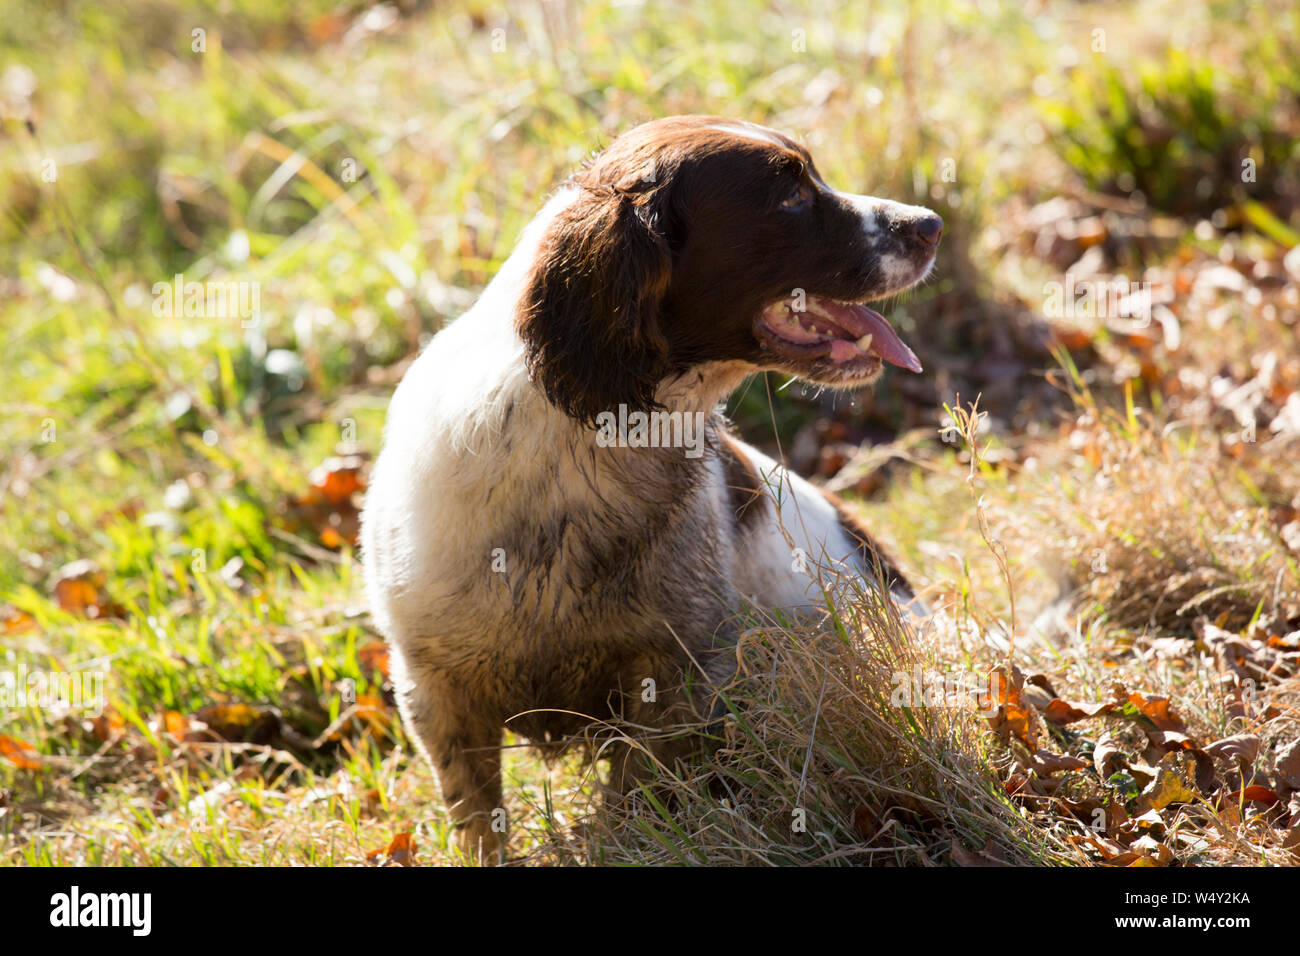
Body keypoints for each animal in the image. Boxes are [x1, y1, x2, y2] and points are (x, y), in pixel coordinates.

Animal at [361, 115, 941, 858]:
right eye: (790, 195)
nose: (931, 223)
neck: (584, 453)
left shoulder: (676, 677)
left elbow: (632, 801)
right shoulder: (435, 689)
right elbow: (480, 824)